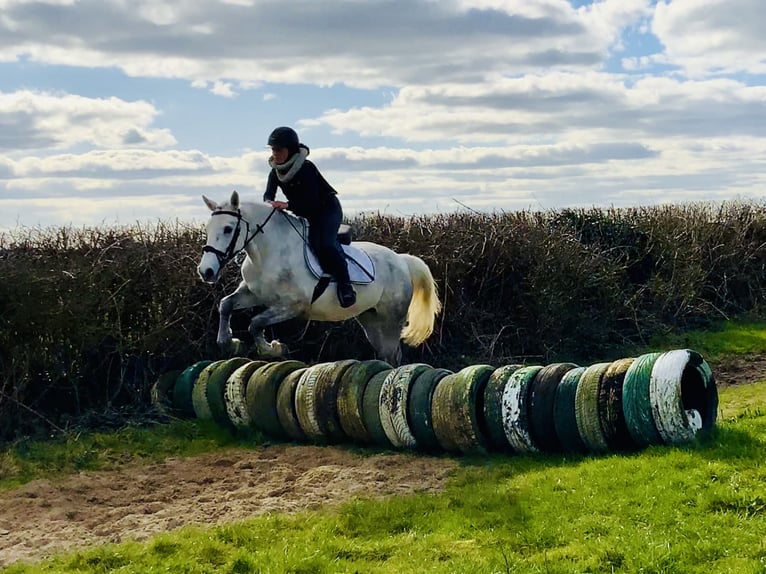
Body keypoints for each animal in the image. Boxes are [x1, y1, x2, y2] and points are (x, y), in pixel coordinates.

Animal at [196, 191, 444, 366]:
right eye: (208, 228)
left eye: (228, 229)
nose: (205, 271)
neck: (268, 253)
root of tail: (401, 260)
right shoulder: (253, 294)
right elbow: (226, 305)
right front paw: (229, 342)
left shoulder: (293, 306)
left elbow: (255, 323)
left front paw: (273, 348)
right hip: (371, 320)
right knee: (385, 354)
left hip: (392, 319)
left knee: (393, 355)